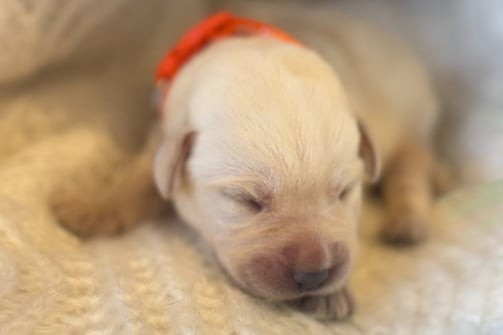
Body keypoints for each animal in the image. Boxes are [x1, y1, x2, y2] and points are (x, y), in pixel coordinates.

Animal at [52, 9, 444, 322]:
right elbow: (136, 179)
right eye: (245, 201)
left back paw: (413, 215)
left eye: (343, 193)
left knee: (412, 165)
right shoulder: (162, 135)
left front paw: (332, 294)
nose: (314, 276)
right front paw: (90, 209)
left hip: (411, 118)